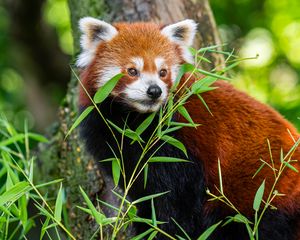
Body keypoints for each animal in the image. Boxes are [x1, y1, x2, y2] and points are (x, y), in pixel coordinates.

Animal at [77, 17, 300, 240]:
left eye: (163, 72)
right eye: (132, 71)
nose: (154, 91)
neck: (135, 122)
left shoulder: (180, 148)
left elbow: (176, 202)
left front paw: (162, 231)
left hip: (266, 197)